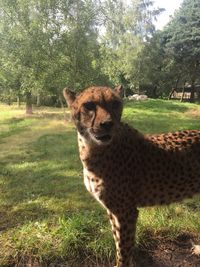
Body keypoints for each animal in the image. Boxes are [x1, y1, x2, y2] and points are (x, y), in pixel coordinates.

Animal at [63, 86, 200, 267]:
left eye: (115, 103)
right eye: (89, 105)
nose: (107, 124)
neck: (93, 149)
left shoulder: (126, 212)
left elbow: (123, 250)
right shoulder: (114, 211)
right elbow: (118, 244)